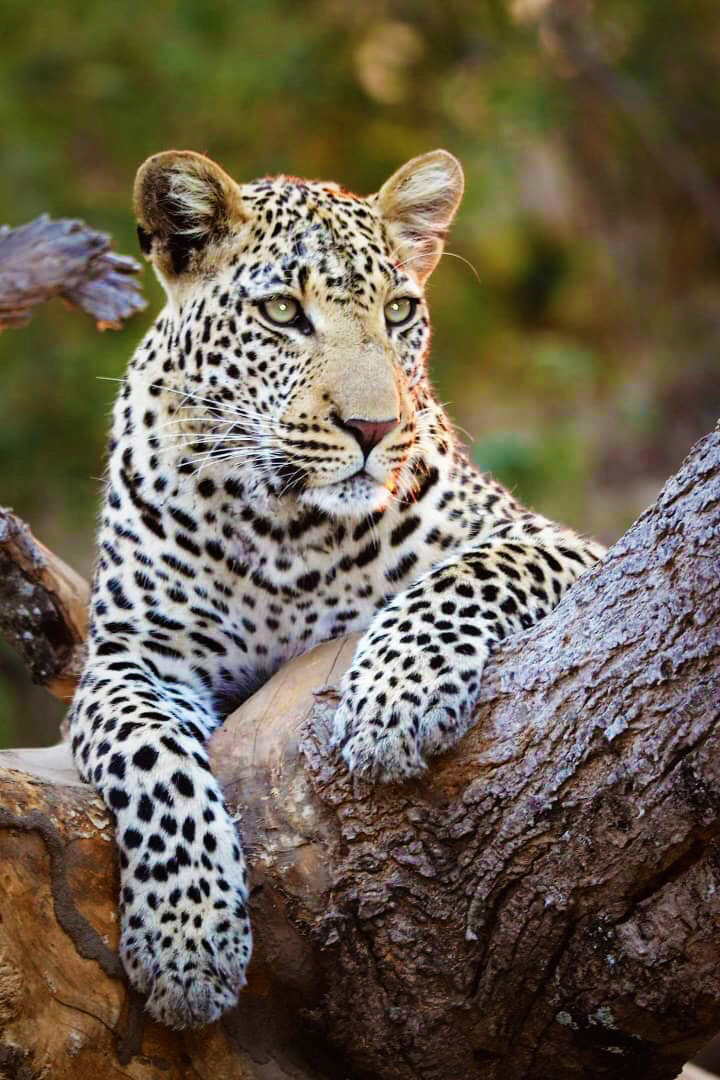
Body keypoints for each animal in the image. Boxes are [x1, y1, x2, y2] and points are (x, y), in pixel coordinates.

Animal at [68, 147, 604, 1030]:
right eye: (284, 312)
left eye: (399, 311)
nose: (374, 428)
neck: (284, 527)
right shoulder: (132, 655)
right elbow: (153, 761)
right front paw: (188, 940)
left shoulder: (555, 540)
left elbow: (462, 576)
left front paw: (395, 702)